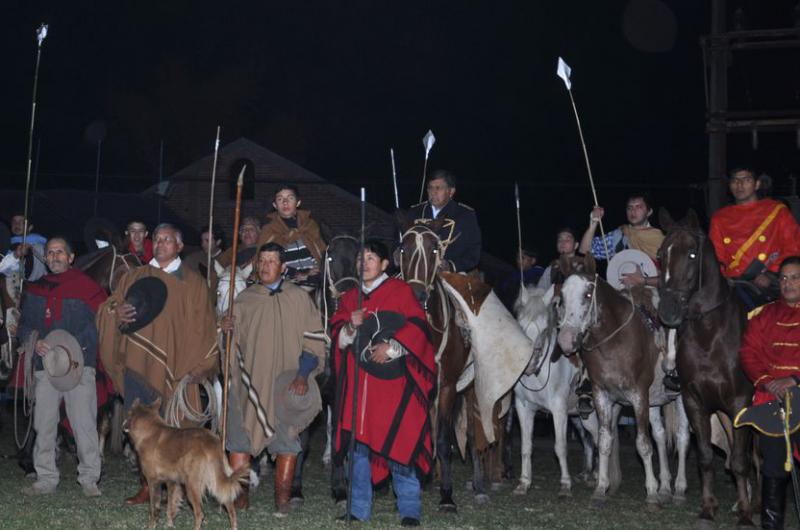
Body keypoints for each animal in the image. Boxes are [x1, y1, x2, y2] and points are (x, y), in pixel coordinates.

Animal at [512, 284, 592, 496]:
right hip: (580, 418)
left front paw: (565, 484)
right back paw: (589, 473)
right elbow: (526, 446)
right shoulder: (524, 408)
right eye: (521, 323)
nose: (529, 364)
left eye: (544, 327)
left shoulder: (558, 410)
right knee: (590, 440)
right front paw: (524, 482)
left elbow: (560, 447)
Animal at [656, 208, 756, 524]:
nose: (668, 311)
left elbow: (740, 461)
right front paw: (708, 509)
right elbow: (705, 457)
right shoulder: (695, 402)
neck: (709, 335)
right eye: (661, 254)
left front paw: (746, 515)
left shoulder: (741, 404)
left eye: (692, 253)